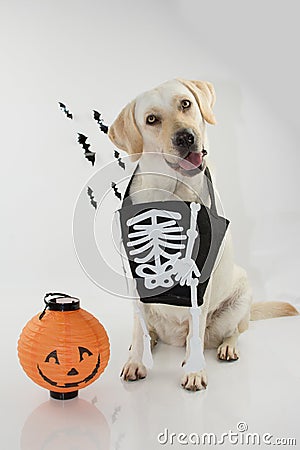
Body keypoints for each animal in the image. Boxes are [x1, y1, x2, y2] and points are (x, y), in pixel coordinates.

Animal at [108, 77, 298, 390]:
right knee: (150, 329)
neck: (173, 193)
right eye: (151, 120)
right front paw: (136, 362)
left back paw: (226, 347)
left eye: (185, 104)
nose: (185, 138)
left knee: (231, 331)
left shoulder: (201, 279)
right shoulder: (133, 278)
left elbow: (197, 326)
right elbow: (138, 329)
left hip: (238, 301)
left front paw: (195, 371)